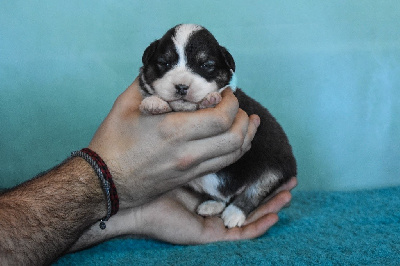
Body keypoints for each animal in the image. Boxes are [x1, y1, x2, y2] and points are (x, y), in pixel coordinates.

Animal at [139, 23, 296, 228]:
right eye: (164, 63)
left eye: (206, 65)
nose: (181, 87)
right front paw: (153, 102)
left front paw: (211, 99)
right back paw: (212, 205)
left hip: (274, 167)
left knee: (254, 191)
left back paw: (234, 214)